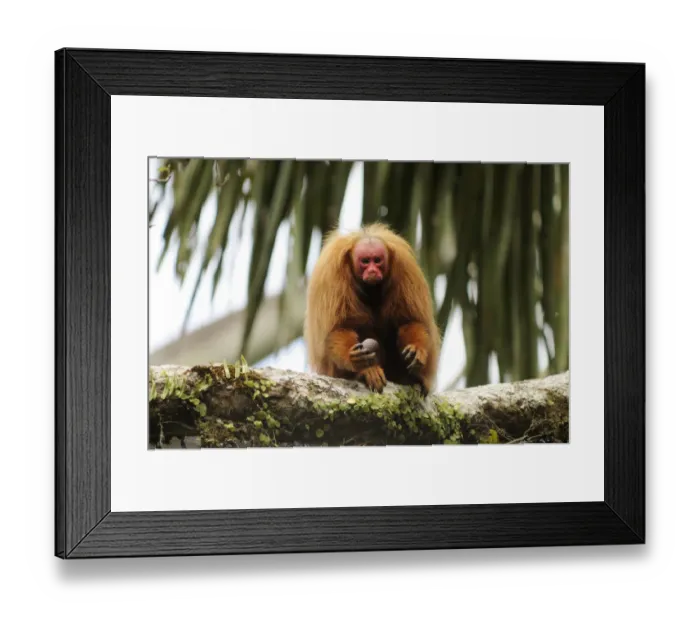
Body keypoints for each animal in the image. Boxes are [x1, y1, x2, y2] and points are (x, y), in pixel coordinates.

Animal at [303, 222, 441, 396]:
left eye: (377, 260)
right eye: (365, 261)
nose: (372, 271)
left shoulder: (405, 269)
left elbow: (409, 322)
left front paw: (417, 349)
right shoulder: (332, 277)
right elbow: (339, 329)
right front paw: (356, 362)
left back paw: (409, 379)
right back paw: (366, 372)